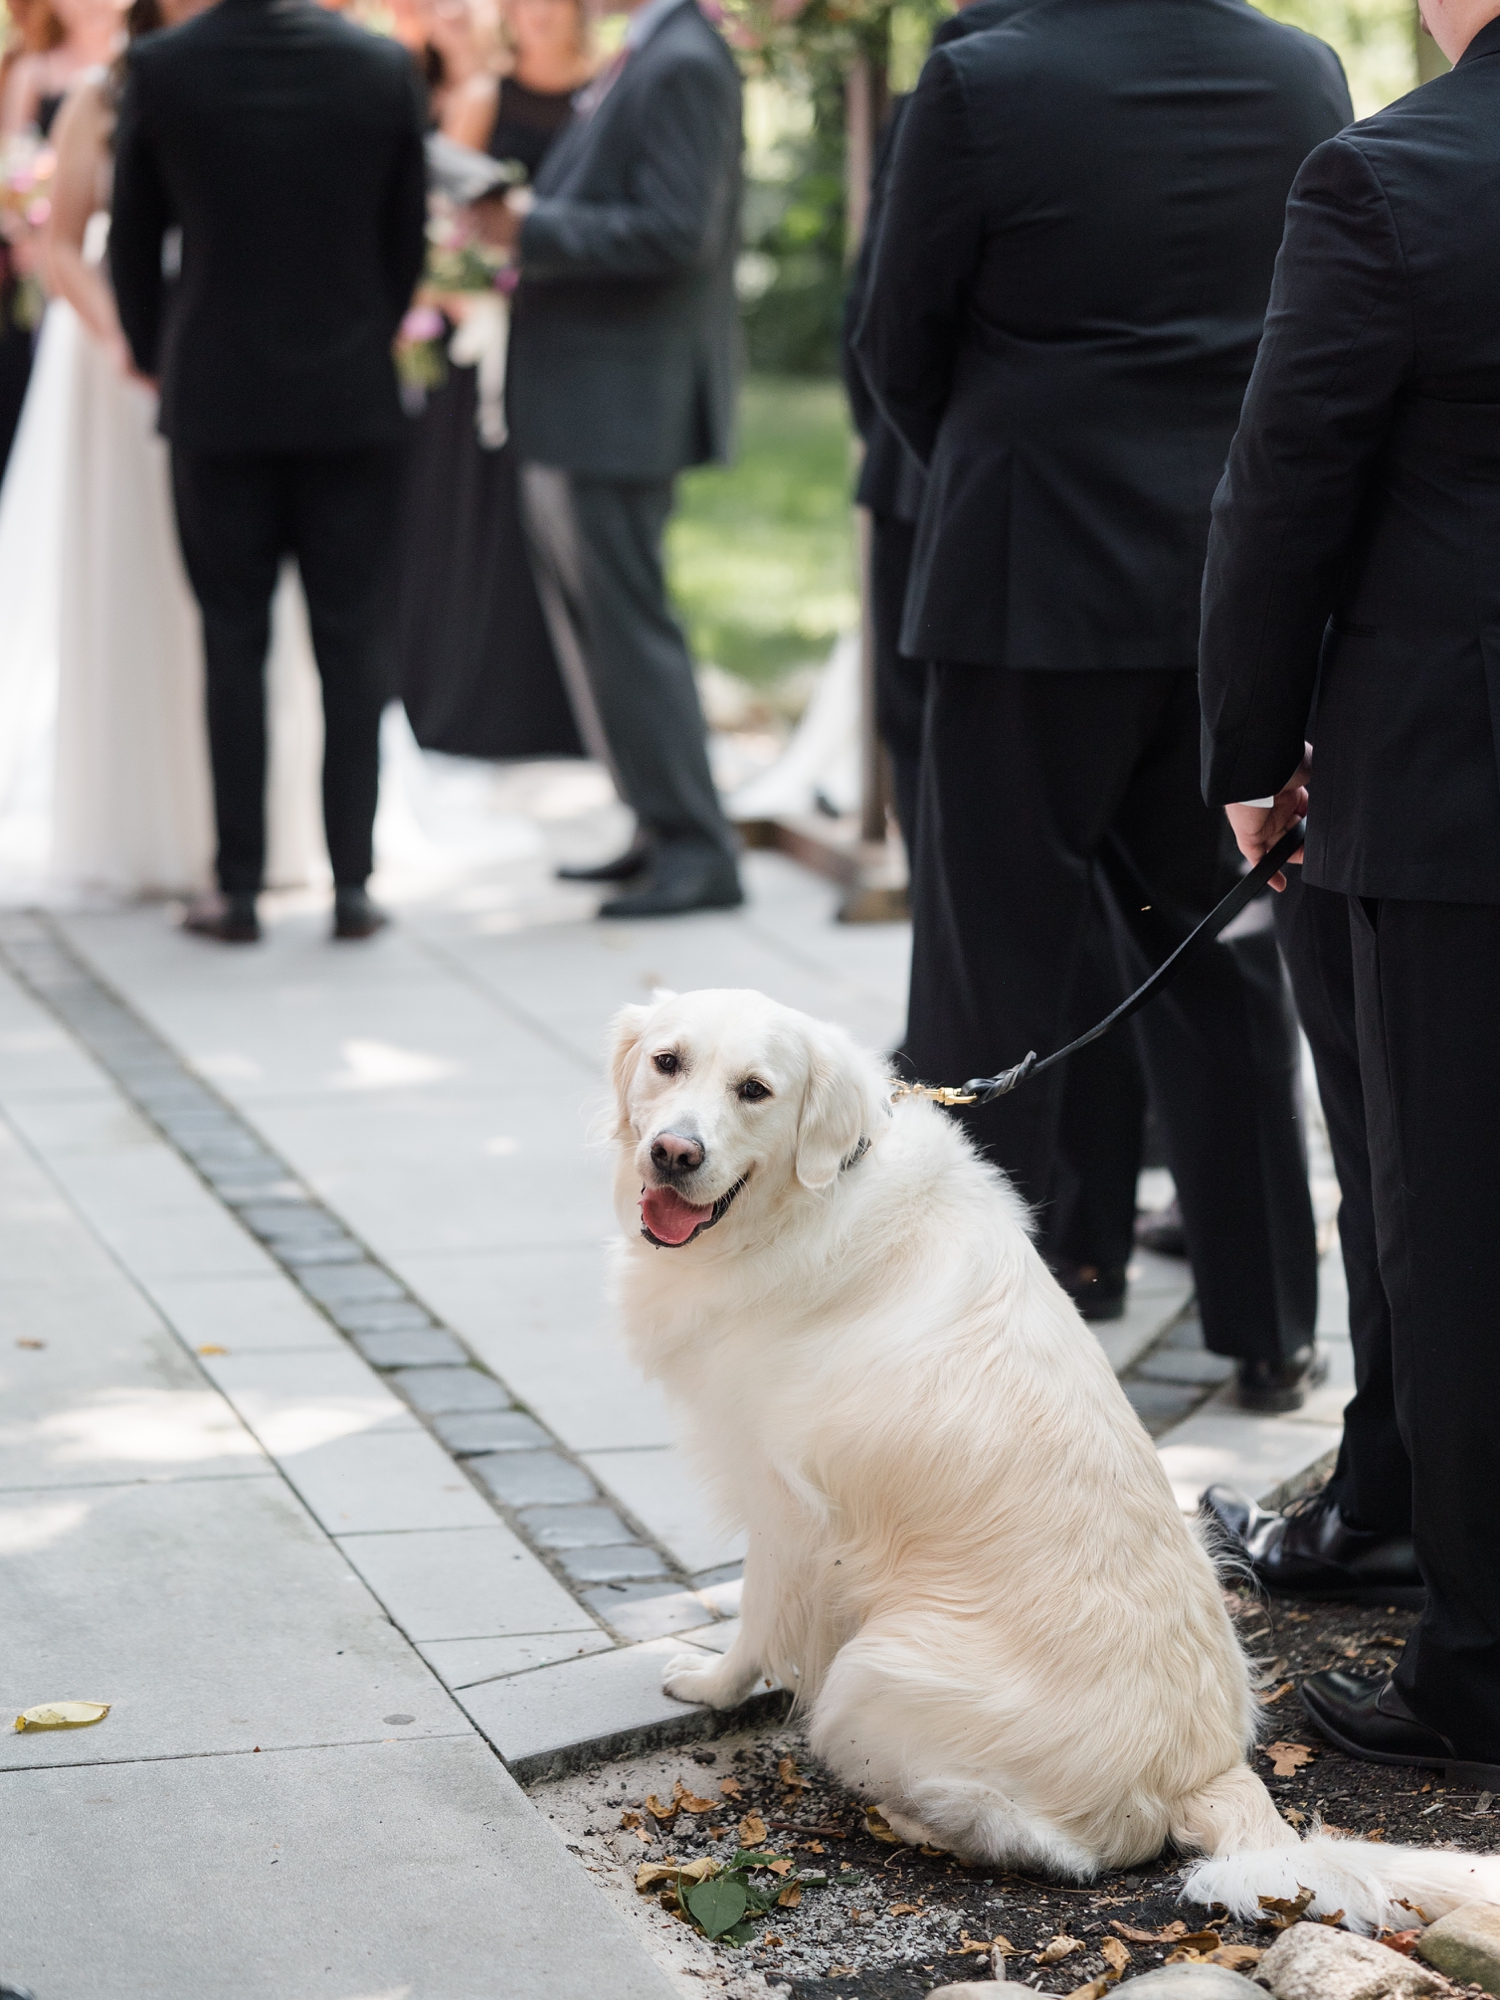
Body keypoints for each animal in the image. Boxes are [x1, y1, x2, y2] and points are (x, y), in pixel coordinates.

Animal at [612, 992, 1500, 1928]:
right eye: (667, 1062)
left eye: (755, 1089)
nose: (674, 1153)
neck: (812, 1198)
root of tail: (1210, 1772)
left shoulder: (785, 1504)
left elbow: (756, 1619)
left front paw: (712, 1684)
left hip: (874, 1671)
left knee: (1058, 1847)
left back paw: (915, 1815)